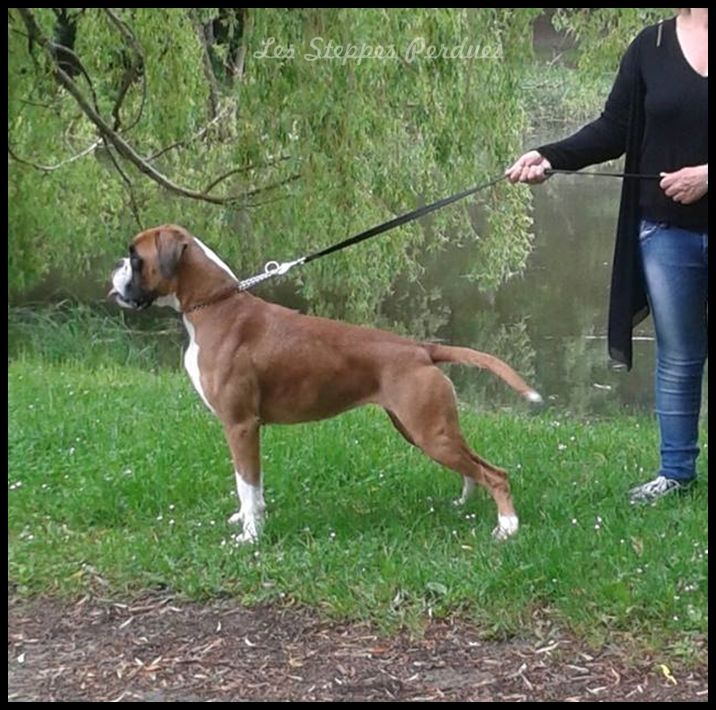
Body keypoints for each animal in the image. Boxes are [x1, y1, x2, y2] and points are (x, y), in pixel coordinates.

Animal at [109, 225, 540, 544]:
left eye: (135, 257)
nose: (117, 265)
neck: (216, 306)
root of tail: (421, 348)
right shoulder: (241, 430)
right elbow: (249, 486)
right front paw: (247, 519)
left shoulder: (241, 425)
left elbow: (247, 482)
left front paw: (250, 537)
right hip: (425, 429)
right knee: (475, 466)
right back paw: (466, 503)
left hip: (430, 432)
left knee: (496, 474)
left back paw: (507, 527)